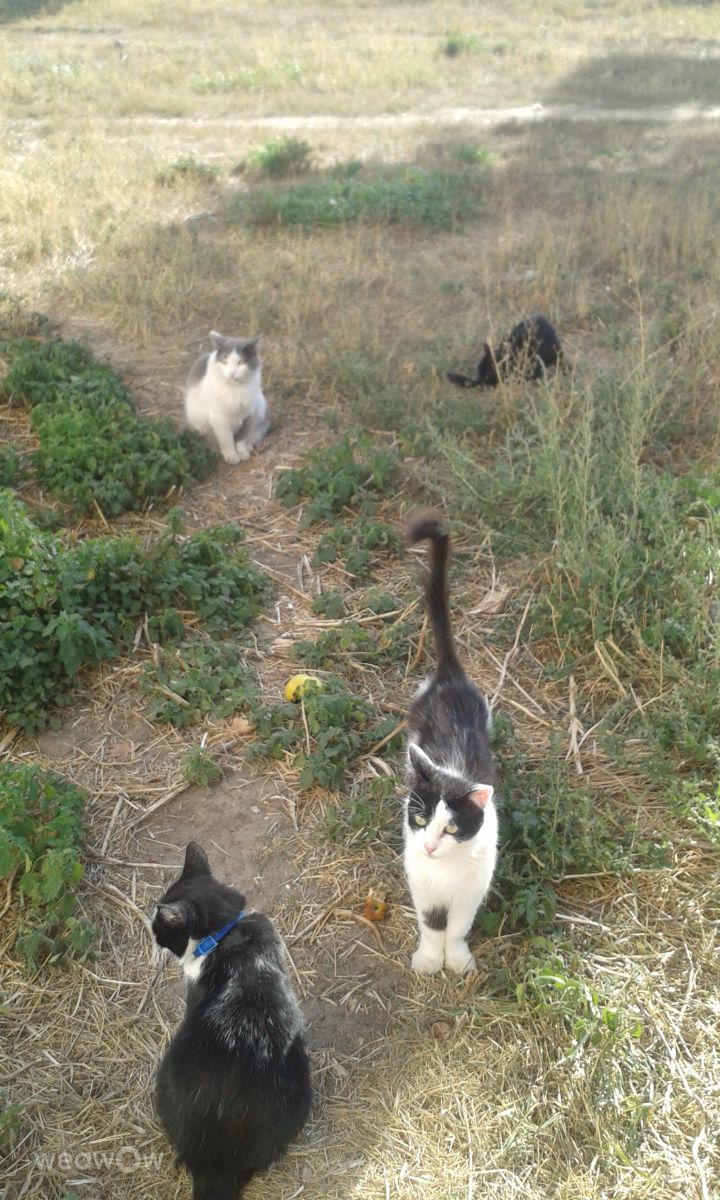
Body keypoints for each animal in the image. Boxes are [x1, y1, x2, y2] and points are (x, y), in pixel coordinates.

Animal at [182, 331, 270, 465]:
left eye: (240, 362)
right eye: (225, 361)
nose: (232, 373)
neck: (235, 389)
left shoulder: (247, 415)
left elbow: (241, 439)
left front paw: (242, 453)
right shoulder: (220, 420)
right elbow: (227, 441)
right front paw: (232, 456)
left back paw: (249, 446)